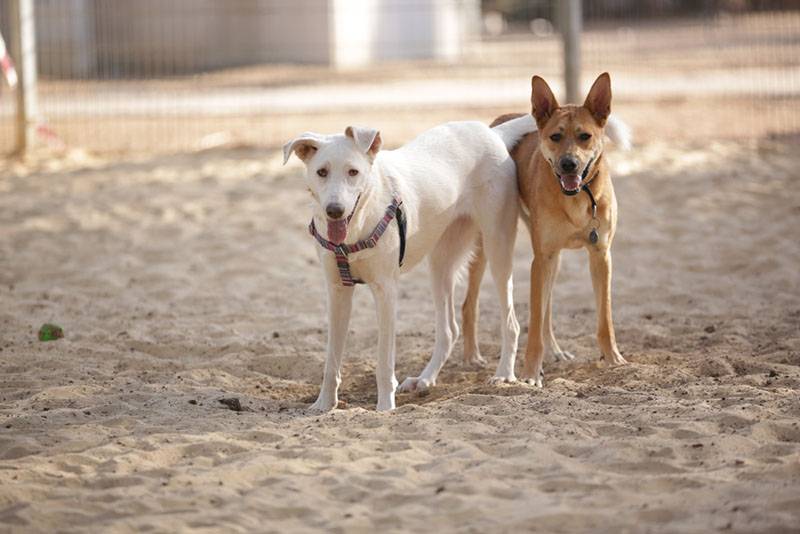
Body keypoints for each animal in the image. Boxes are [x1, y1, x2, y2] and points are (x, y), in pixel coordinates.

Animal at [282, 116, 536, 410]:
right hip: (440, 262)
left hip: (498, 249)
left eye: (353, 172)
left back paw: (504, 374)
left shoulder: (386, 292)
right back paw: (424, 379)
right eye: (321, 172)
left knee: (511, 323)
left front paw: (384, 408)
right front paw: (324, 405)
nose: (334, 211)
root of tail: (491, 132)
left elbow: (383, 362)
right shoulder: (337, 292)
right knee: (449, 330)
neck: (357, 227)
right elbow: (331, 359)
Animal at [462, 73, 632, 388]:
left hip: (554, 259)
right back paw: (471, 356)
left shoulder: (600, 255)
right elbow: (534, 322)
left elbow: (604, 318)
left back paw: (556, 351)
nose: (569, 164)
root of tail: (502, 120)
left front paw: (614, 360)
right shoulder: (540, 260)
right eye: (555, 137)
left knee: (548, 311)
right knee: (470, 303)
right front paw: (530, 373)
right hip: (488, 246)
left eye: (585, 136)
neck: (577, 197)